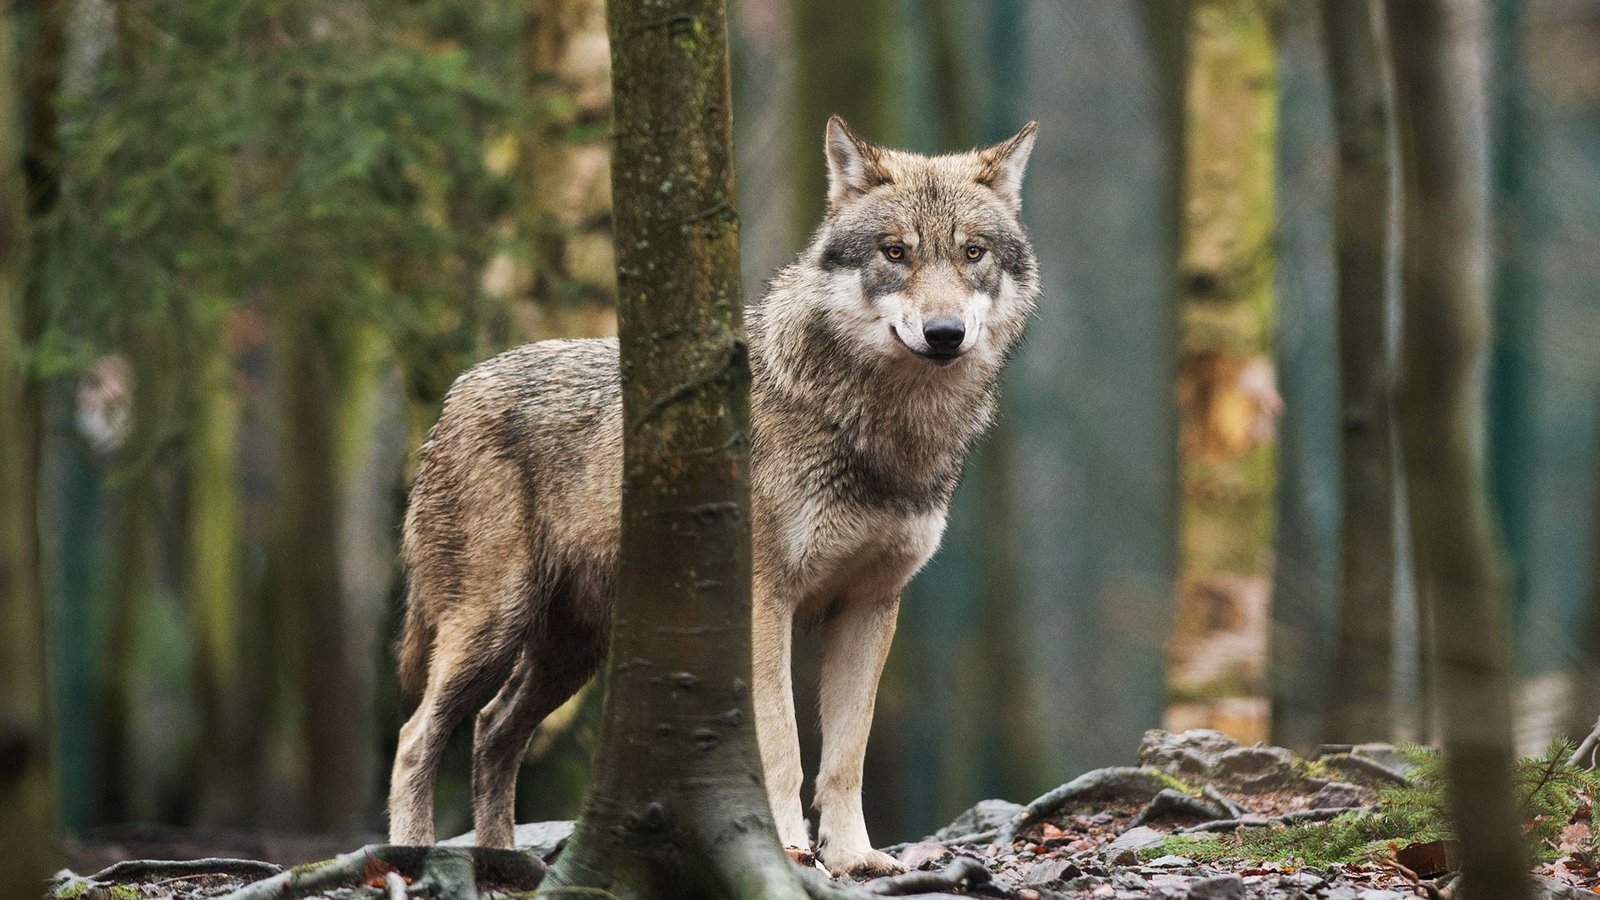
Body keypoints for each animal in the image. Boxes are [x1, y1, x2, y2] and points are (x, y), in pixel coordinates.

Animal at [386, 116, 1040, 876]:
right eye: (895, 252)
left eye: (972, 253)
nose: (944, 333)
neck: (881, 430)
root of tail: (456, 391)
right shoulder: (764, 601)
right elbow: (782, 747)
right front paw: (788, 850)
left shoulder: (870, 605)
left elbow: (846, 756)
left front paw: (855, 857)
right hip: (492, 627)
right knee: (416, 738)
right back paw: (412, 858)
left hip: (571, 652)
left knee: (492, 732)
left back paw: (502, 864)